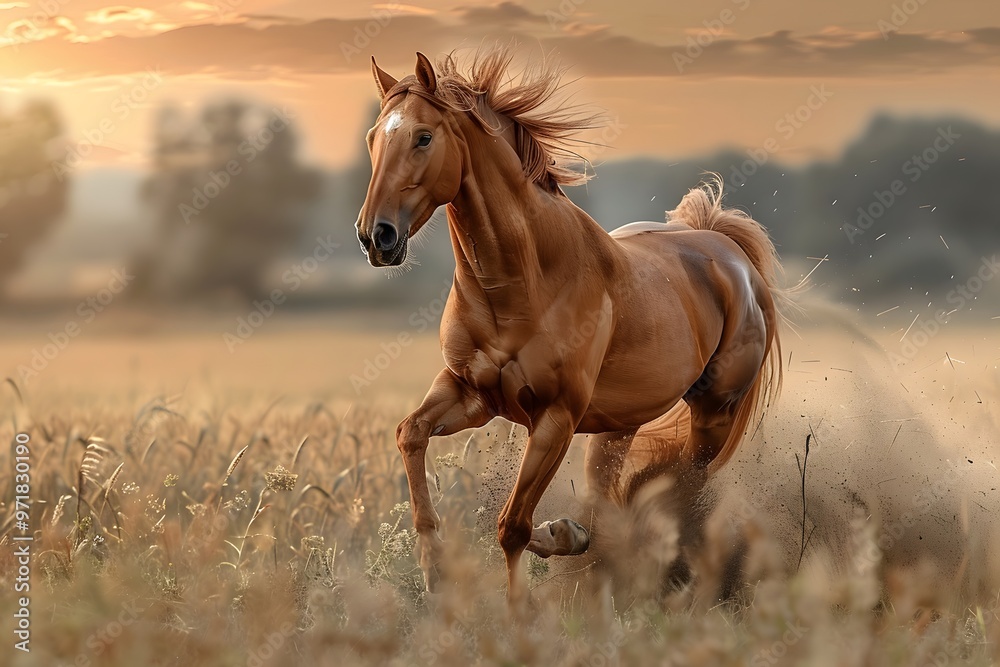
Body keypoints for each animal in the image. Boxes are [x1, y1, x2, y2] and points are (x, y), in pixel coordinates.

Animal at [355, 46, 787, 605]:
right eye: (372, 138)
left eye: (423, 137)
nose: (376, 237)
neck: (525, 279)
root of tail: (728, 252)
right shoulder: (471, 394)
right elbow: (410, 433)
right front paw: (434, 570)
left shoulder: (555, 417)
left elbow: (512, 526)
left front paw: (520, 608)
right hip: (619, 425)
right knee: (617, 498)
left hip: (714, 414)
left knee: (677, 484)